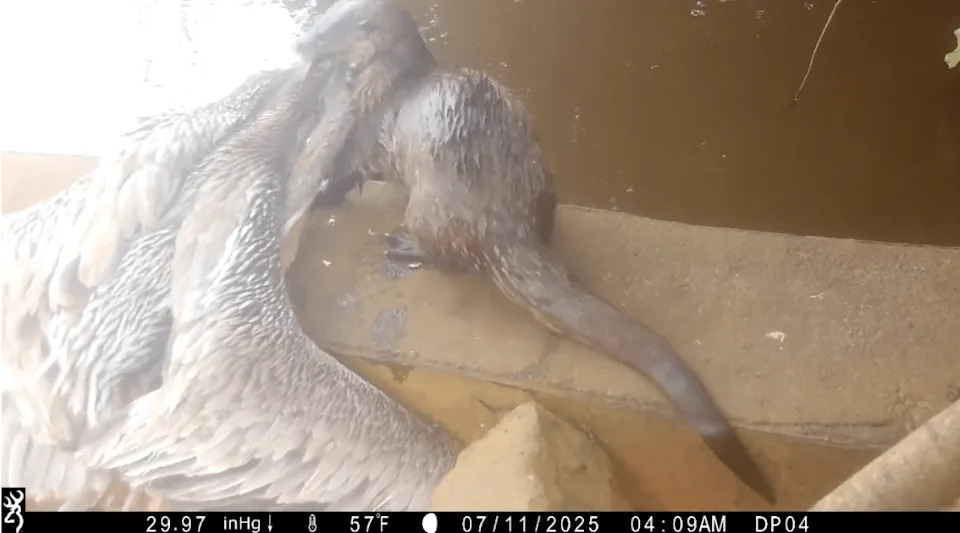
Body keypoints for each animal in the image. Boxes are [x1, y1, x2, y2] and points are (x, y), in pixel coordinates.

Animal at [313, 2, 777, 505]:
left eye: (330, 28)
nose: (309, 47)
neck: (390, 82)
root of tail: (504, 224)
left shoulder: (362, 130)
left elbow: (345, 172)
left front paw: (319, 197)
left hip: (428, 202)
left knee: (442, 253)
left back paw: (404, 245)